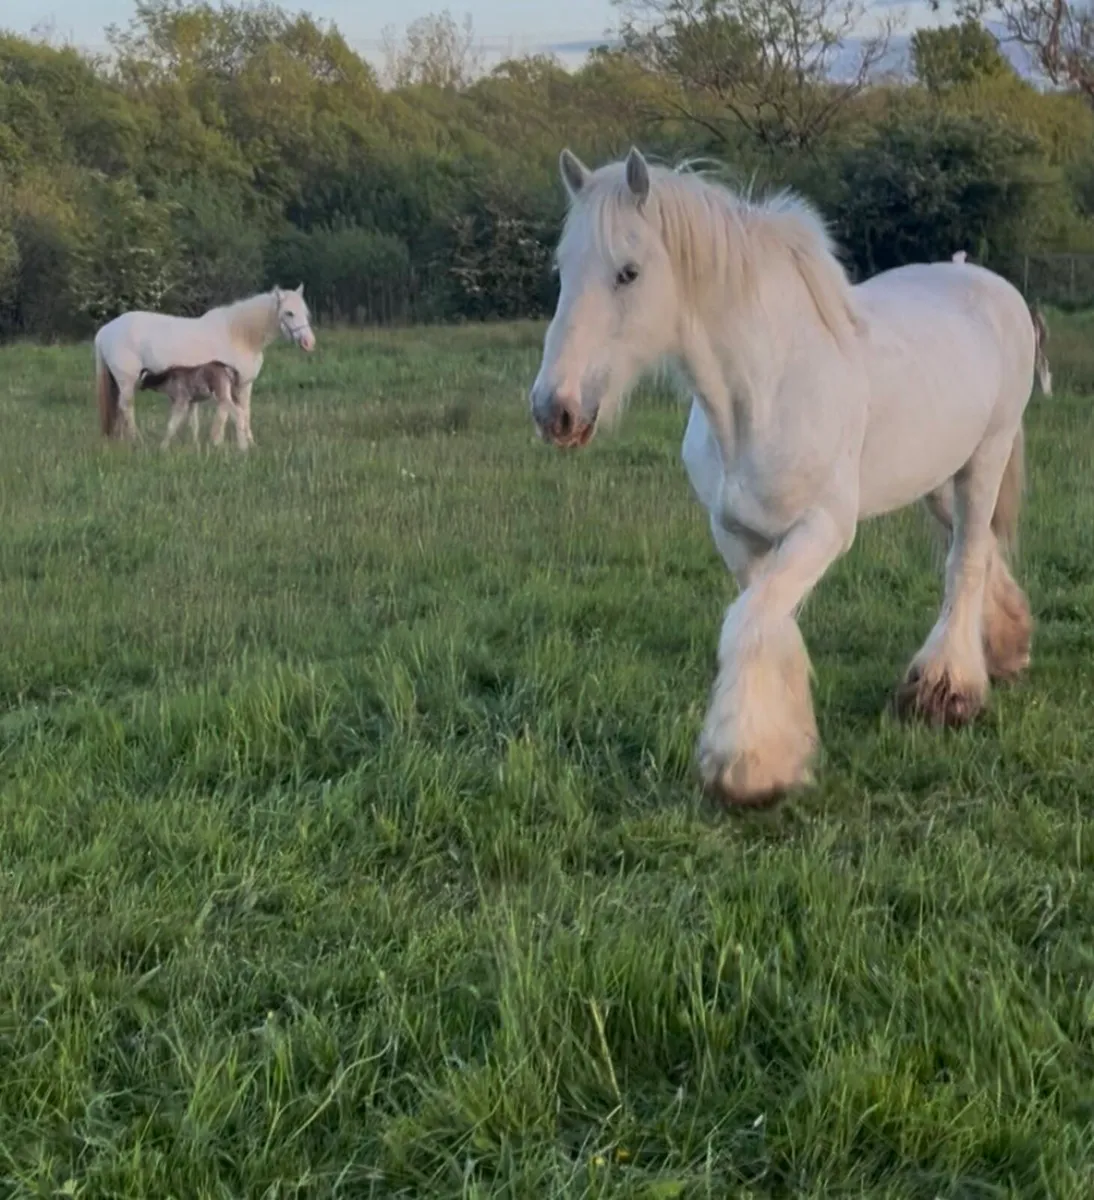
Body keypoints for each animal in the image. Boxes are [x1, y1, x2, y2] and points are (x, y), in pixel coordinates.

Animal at [94, 285, 315, 448]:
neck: (239, 334)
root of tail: (105, 331)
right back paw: (135, 440)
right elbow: (235, 413)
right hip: (127, 381)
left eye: (305, 312)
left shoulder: (241, 386)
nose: (309, 343)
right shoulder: (237, 385)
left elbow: (242, 412)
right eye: (289, 313)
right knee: (126, 408)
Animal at [530, 147, 1040, 807]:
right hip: (938, 478)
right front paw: (781, 743)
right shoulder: (737, 535)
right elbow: (768, 624)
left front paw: (746, 767)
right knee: (976, 549)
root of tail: (988, 285)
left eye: (629, 272)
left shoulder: (822, 530)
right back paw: (1005, 645)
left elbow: (750, 624)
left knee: (968, 559)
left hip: (985, 460)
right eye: (563, 269)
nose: (555, 411)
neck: (763, 391)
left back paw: (947, 689)